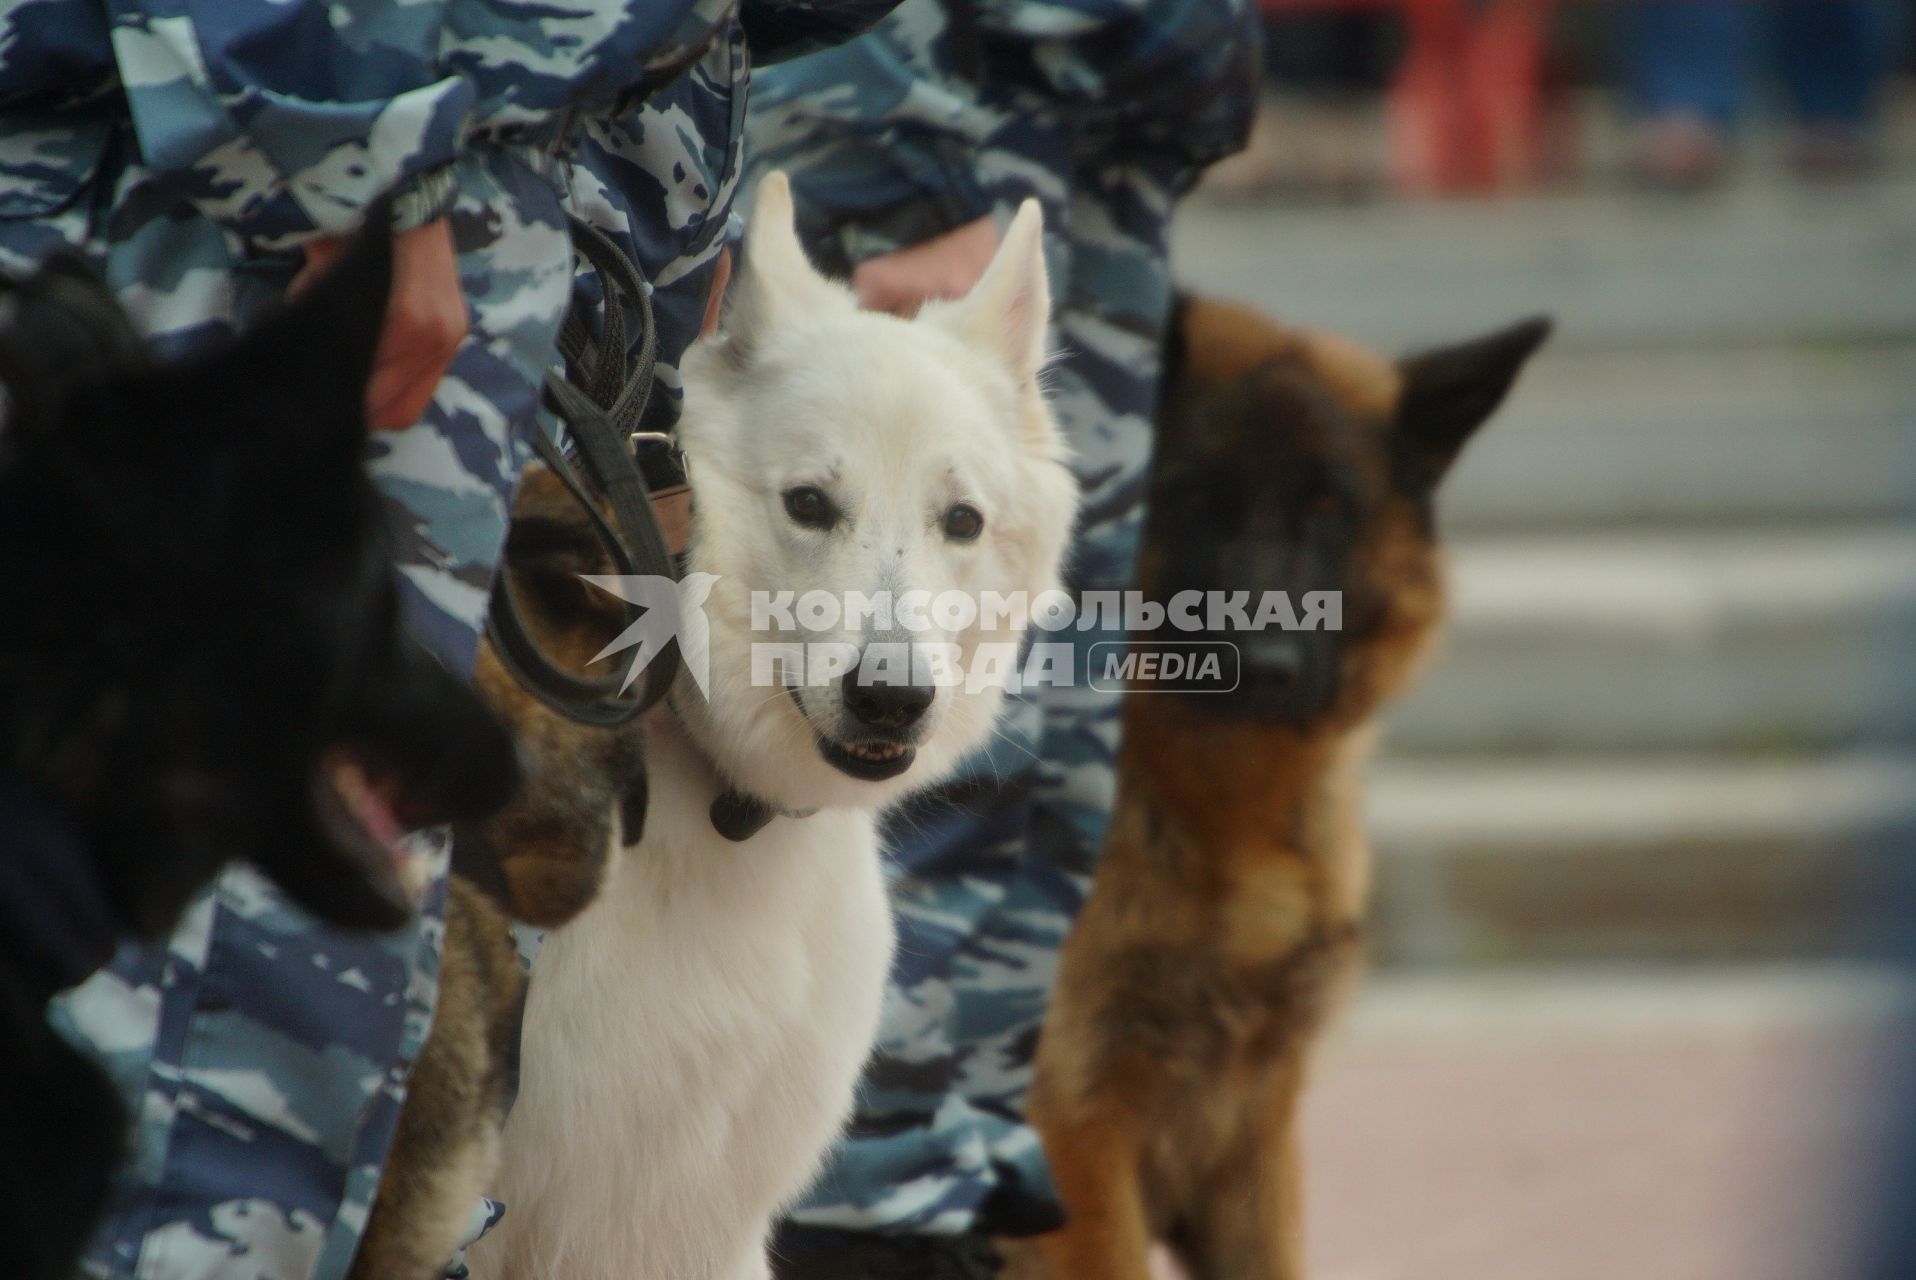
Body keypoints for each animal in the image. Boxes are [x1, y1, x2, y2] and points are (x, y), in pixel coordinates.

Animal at [1019, 293, 1540, 1280]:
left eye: (1329, 505)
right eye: (1190, 495)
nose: (1263, 668)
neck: (1218, 814)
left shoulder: (1250, 1139)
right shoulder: (1074, 1140)